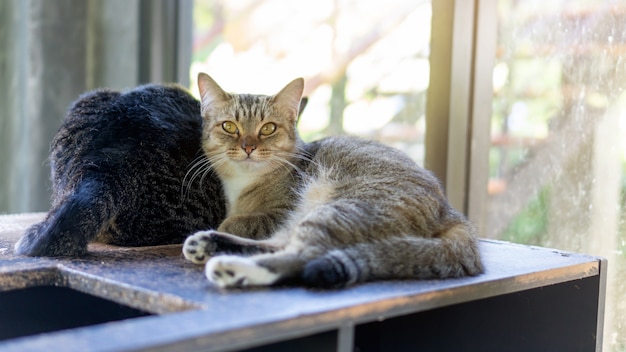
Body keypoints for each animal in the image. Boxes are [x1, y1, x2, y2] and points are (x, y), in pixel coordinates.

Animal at [182, 73, 482, 288]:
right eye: (229, 126)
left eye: (268, 128)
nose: (248, 147)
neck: (244, 183)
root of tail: (452, 215)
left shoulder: (280, 212)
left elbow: (240, 221)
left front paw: (227, 224)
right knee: (281, 245)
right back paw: (208, 244)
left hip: (341, 209)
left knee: (303, 254)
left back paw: (233, 267)